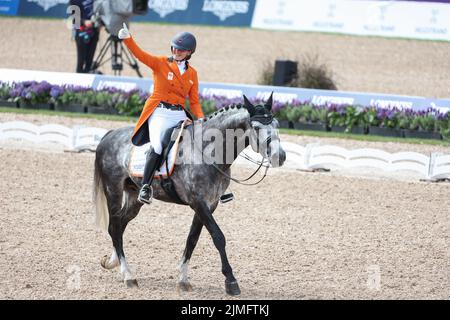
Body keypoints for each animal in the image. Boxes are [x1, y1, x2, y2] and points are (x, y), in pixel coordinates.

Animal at [93, 94, 286, 296]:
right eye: (256, 128)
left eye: (277, 124)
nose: (279, 156)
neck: (208, 151)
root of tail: (110, 134)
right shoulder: (198, 202)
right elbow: (218, 237)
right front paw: (231, 281)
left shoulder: (209, 204)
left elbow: (192, 239)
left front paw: (183, 280)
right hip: (113, 190)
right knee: (114, 226)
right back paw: (128, 275)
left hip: (134, 196)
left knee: (120, 224)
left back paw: (112, 262)